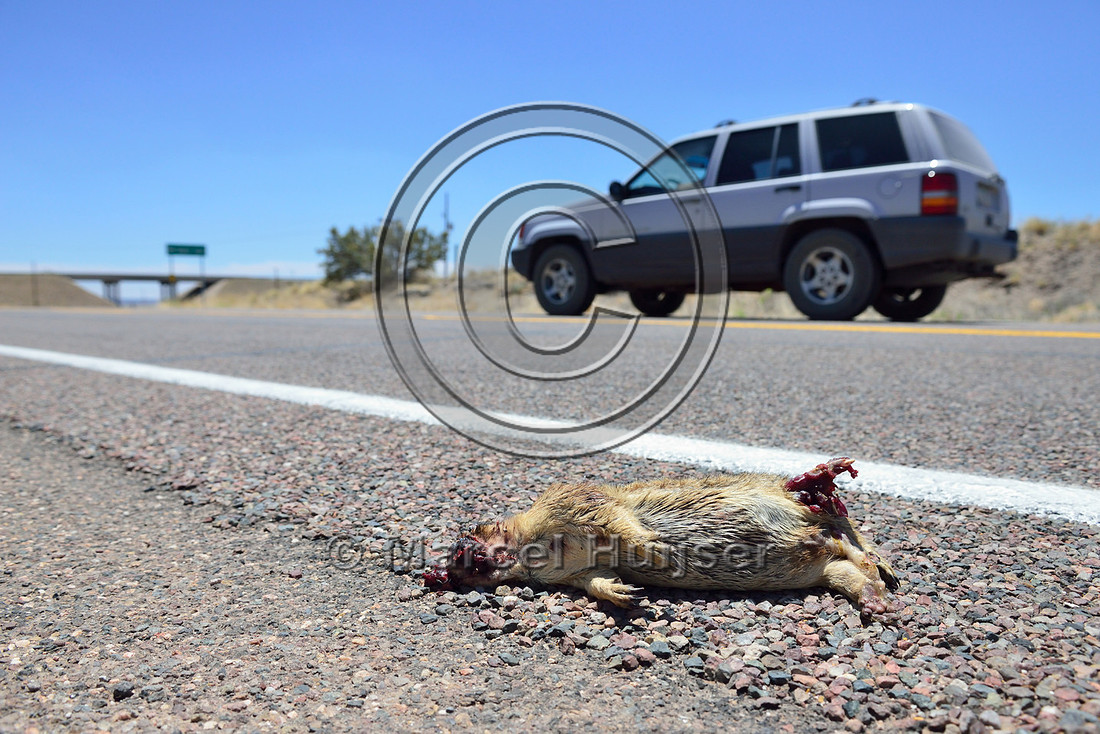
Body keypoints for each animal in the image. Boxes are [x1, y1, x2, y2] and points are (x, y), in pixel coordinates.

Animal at [424, 458, 900, 614]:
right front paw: (623, 592)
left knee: (833, 523)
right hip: (824, 566)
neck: (533, 548)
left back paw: (819, 481)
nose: (441, 571)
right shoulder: (571, 573)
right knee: (848, 564)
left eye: (468, 535)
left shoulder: (573, 502)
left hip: (771, 494)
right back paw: (873, 592)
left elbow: (617, 521)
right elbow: (595, 578)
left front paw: (654, 549)